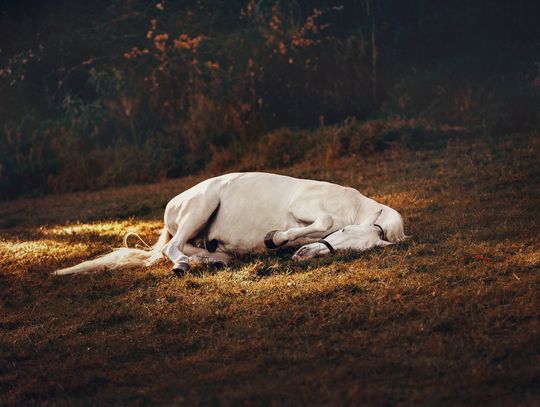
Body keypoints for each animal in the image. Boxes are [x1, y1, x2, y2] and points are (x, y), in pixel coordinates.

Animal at [54, 172, 408, 278]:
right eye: (343, 234)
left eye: (349, 251)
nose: (304, 256)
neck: (354, 206)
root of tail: (175, 202)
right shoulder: (304, 207)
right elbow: (322, 220)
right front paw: (274, 237)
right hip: (201, 206)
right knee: (173, 249)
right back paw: (183, 266)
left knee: (191, 247)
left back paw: (215, 259)